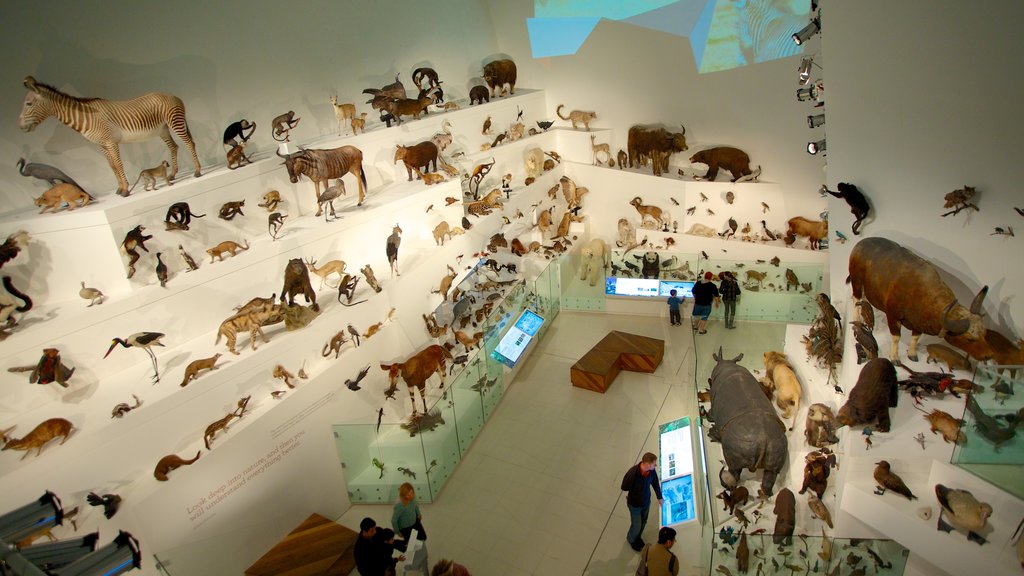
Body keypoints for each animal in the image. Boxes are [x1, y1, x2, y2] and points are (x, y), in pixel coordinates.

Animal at [843, 235, 987, 360]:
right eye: (969, 339)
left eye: (984, 333)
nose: (987, 355)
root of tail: (860, 244)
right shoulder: (893, 316)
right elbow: (896, 337)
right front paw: (894, 357)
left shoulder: (919, 321)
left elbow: (915, 338)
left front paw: (912, 354)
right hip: (856, 280)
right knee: (856, 299)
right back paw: (857, 317)